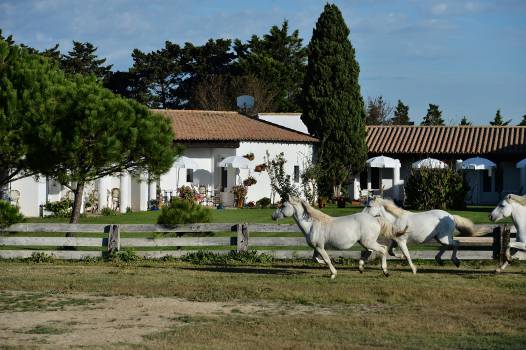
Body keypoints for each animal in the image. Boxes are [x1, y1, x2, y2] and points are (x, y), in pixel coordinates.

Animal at [272, 197, 400, 278]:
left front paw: (333, 273)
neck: (312, 224)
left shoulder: (319, 247)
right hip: (365, 242)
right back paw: (361, 268)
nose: (273, 216)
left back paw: (385, 271)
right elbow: (316, 259)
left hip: (368, 242)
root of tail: (375, 219)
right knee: (370, 251)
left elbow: (327, 259)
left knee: (382, 249)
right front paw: (328, 264)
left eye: (283, 205)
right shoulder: (317, 248)